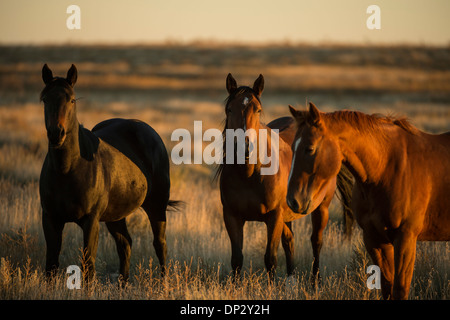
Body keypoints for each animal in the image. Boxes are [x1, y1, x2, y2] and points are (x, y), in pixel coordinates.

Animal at [39, 63, 179, 284]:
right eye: (45, 99)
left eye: (71, 100)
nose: (56, 134)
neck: (67, 169)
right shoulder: (50, 218)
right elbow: (51, 264)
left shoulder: (91, 220)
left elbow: (88, 264)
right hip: (116, 216)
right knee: (125, 245)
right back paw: (123, 284)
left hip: (156, 205)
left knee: (160, 245)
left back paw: (164, 285)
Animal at [218, 73, 356, 280]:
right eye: (229, 109)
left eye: (258, 110)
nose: (245, 147)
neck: (249, 175)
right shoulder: (232, 216)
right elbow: (236, 260)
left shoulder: (274, 217)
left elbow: (270, 259)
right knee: (289, 242)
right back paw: (291, 277)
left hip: (321, 208)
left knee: (316, 242)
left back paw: (315, 281)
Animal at [288, 103, 450, 300]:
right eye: (292, 149)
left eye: (310, 148)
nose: (292, 201)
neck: (385, 169)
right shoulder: (374, 238)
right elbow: (387, 287)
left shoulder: (406, 238)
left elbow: (400, 289)